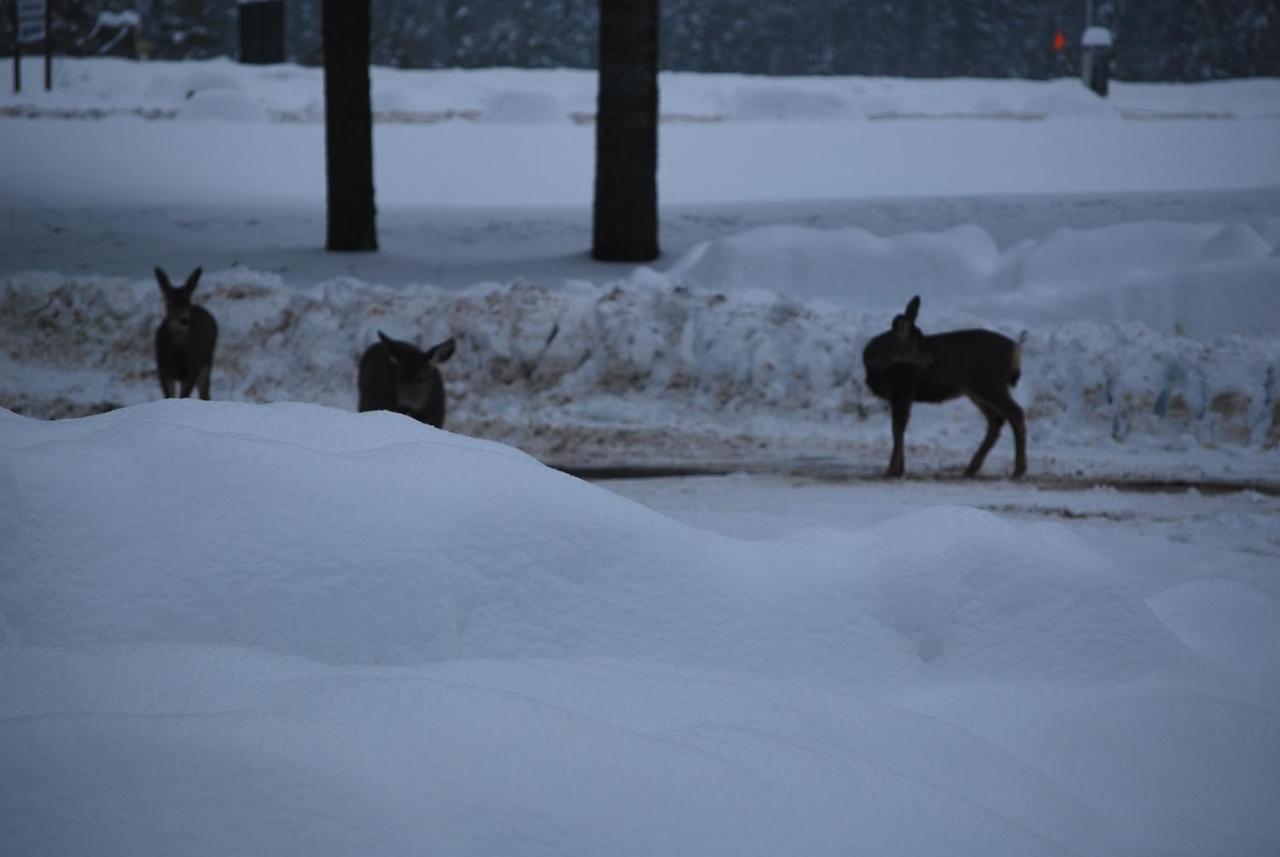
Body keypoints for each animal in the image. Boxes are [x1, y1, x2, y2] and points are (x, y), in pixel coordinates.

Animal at [153, 268, 218, 404]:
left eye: (187, 302)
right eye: (170, 303)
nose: (184, 320)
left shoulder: (192, 369)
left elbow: (184, 394)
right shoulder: (163, 370)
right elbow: (169, 395)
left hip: (207, 360)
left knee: (204, 392)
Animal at [860, 296, 1029, 480]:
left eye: (922, 338)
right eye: (915, 344)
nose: (932, 361)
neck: (877, 367)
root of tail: (1016, 349)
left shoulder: (903, 391)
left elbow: (897, 430)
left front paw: (892, 471)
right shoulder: (902, 396)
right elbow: (899, 430)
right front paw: (899, 469)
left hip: (989, 383)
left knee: (1015, 413)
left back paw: (1018, 470)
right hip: (976, 390)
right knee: (997, 420)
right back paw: (971, 469)